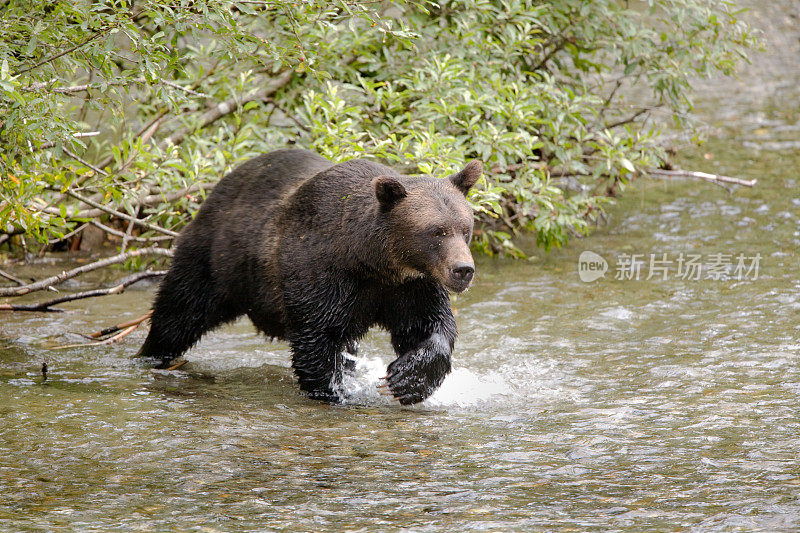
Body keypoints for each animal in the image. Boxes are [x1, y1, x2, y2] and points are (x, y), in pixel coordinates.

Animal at [138, 148, 482, 406]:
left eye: (465, 228)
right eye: (436, 231)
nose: (463, 270)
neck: (371, 260)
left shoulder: (411, 286)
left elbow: (430, 325)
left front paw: (408, 379)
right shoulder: (320, 271)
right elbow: (317, 339)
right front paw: (334, 392)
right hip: (215, 258)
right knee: (180, 310)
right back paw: (152, 355)